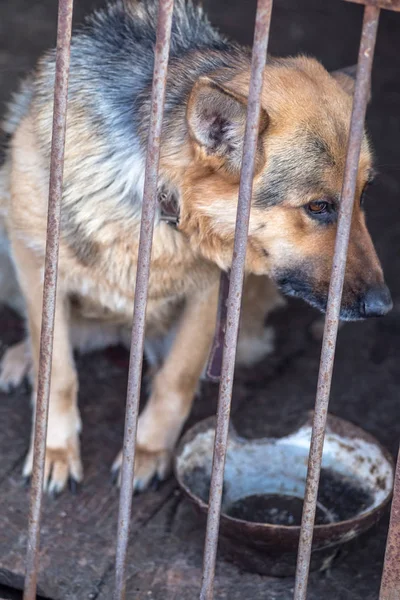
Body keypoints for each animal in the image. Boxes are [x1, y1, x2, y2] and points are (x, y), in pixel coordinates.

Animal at [0, 2, 392, 494]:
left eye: (363, 196)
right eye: (319, 207)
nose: (384, 307)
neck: (160, 201)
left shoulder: (213, 293)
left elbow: (178, 377)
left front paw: (146, 452)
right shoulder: (36, 259)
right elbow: (57, 368)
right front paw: (54, 449)